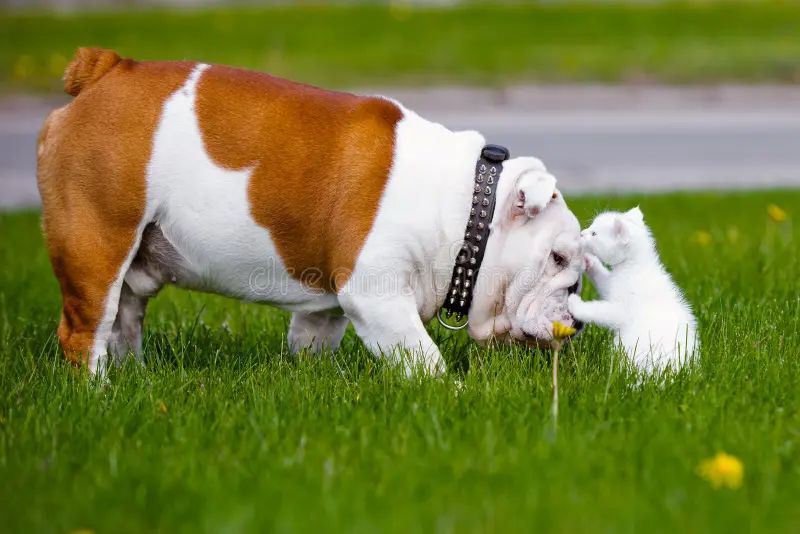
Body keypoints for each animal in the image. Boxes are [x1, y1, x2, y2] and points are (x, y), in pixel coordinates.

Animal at [564, 207, 696, 374]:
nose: (582, 233)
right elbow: (603, 280)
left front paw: (575, 304)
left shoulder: (622, 308)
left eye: (594, 233)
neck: (633, 265)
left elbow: (599, 311)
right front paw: (590, 261)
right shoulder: (612, 284)